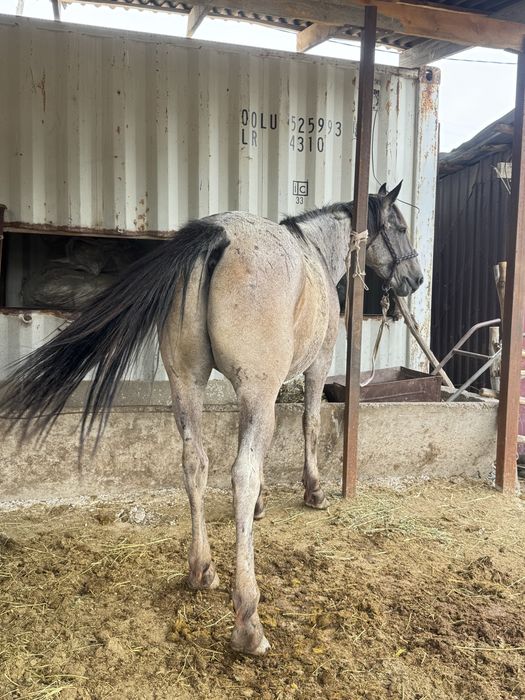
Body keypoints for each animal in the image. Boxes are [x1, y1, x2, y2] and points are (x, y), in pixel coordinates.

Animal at [0, 181, 423, 655]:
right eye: (400, 227)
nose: (416, 279)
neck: (314, 251)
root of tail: (219, 235)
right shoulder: (312, 368)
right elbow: (307, 426)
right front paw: (313, 491)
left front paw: (260, 508)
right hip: (249, 385)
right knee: (240, 474)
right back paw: (248, 620)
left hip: (187, 383)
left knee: (195, 464)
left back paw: (202, 569)